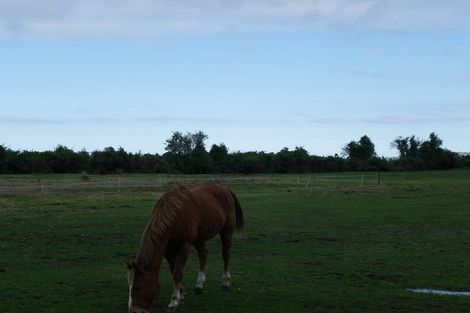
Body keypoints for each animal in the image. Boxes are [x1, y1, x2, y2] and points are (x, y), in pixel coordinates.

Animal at [126, 182, 244, 310]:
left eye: (137, 288)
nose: (133, 310)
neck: (174, 216)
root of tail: (224, 188)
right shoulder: (168, 251)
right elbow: (174, 271)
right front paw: (180, 295)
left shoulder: (184, 247)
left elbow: (178, 274)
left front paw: (174, 301)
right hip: (199, 239)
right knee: (203, 254)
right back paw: (199, 285)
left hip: (226, 232)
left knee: (226, 255)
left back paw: (226, 282)